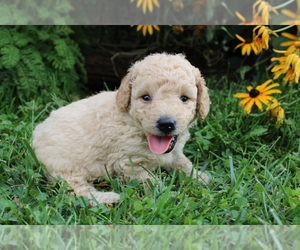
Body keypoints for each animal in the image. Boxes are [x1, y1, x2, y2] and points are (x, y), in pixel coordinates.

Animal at [32, 52, 211, 205]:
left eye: (184, 98)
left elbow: (183, 163)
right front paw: (167, 196)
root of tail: (36, 133)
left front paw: (199, 177)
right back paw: (109, 198)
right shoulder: (129, 162)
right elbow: (151, 181)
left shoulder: (173, 153)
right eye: (146, 97)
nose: (166, 124)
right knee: (78, 190)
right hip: (64, 166)